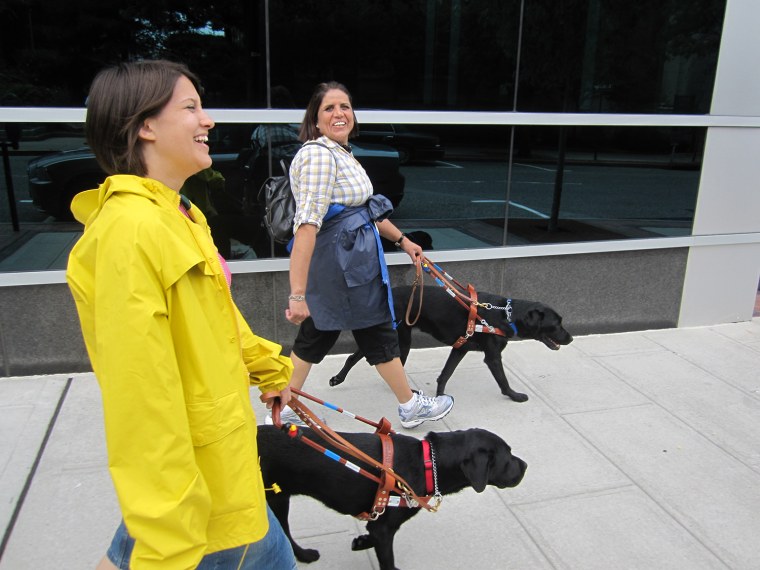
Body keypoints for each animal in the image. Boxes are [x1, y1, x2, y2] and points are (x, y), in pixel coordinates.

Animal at [258, 424, 524, 564]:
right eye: (508, 455)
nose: (526, 466)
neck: (428, 464)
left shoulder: (377, 523)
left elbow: (370, 534)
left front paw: (361, 541)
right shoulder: (384, 529)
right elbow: (388, 561)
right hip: (273, 497)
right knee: (282, 531)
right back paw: (303, 554)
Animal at [330, 284, 572, 400]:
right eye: (557, 323)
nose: (570, 338)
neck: (506, 315)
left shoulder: (460, 348)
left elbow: (445, 374)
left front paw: (440, 397)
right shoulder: (493, 357)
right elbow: (503, 381)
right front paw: (514, 396)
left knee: (360, 358)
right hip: (399, 338)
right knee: (362, 358)